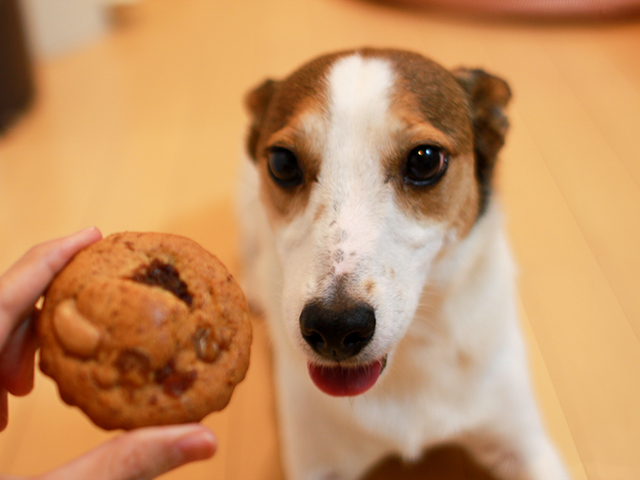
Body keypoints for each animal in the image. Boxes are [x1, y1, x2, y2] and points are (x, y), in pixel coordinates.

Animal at [238, 47, 568, 480]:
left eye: (425, 161)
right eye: (282, 163)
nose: (334, 327)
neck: (410, 352)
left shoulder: (523, 441)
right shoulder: (317, 462)